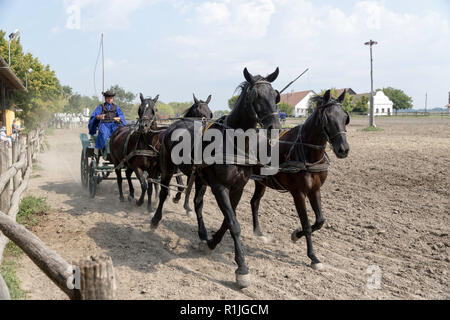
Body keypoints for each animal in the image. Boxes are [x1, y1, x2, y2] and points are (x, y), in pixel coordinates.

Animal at [151, 67, 282, 288]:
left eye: (275, 96)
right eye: (254, 96)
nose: (275, 128)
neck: (234, 143)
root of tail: (176, 123)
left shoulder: (237, 188)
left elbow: (228, 221)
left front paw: (211, 243)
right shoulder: (220, 187)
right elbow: (234, 224)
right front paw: (242, 269)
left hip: (200, 178)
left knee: (197, 202)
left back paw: (203, 233)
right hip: (168, 167)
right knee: (163, 193)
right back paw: (155, 219)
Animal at [251, 89, 350, 270]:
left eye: (345, 117)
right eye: (327, 117)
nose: (343, 149)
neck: (306, 152)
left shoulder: (315, 190)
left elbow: (320, 221)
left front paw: (296, 234)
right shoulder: (298, 194)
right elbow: (307, 224)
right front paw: (313, 257)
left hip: (261, 182)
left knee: (254, 202)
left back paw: (258, 233)